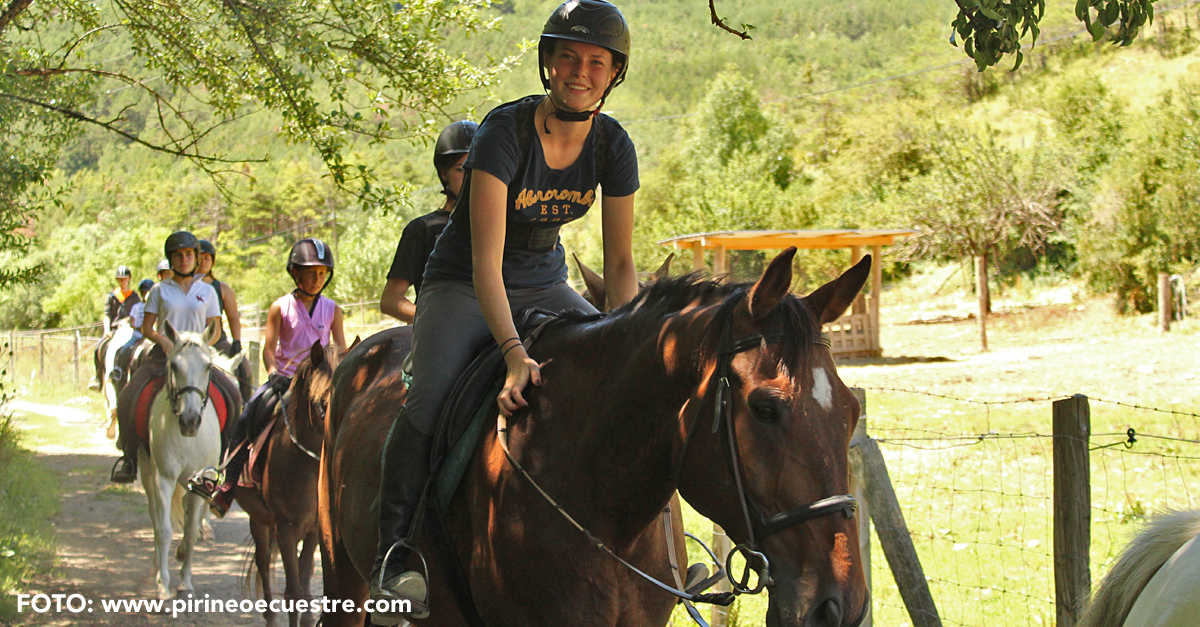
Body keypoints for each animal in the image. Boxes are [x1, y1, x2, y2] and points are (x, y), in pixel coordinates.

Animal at [139, 319, 225, 598]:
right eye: (174, 365)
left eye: (207, 366)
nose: (190, 420)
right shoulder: (164, 478)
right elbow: (165, 530)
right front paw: (163, 585)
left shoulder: (200, 483)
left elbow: (189, 532)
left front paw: (185, 581)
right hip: (147, 474)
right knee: (155, 519)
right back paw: (156, 567)